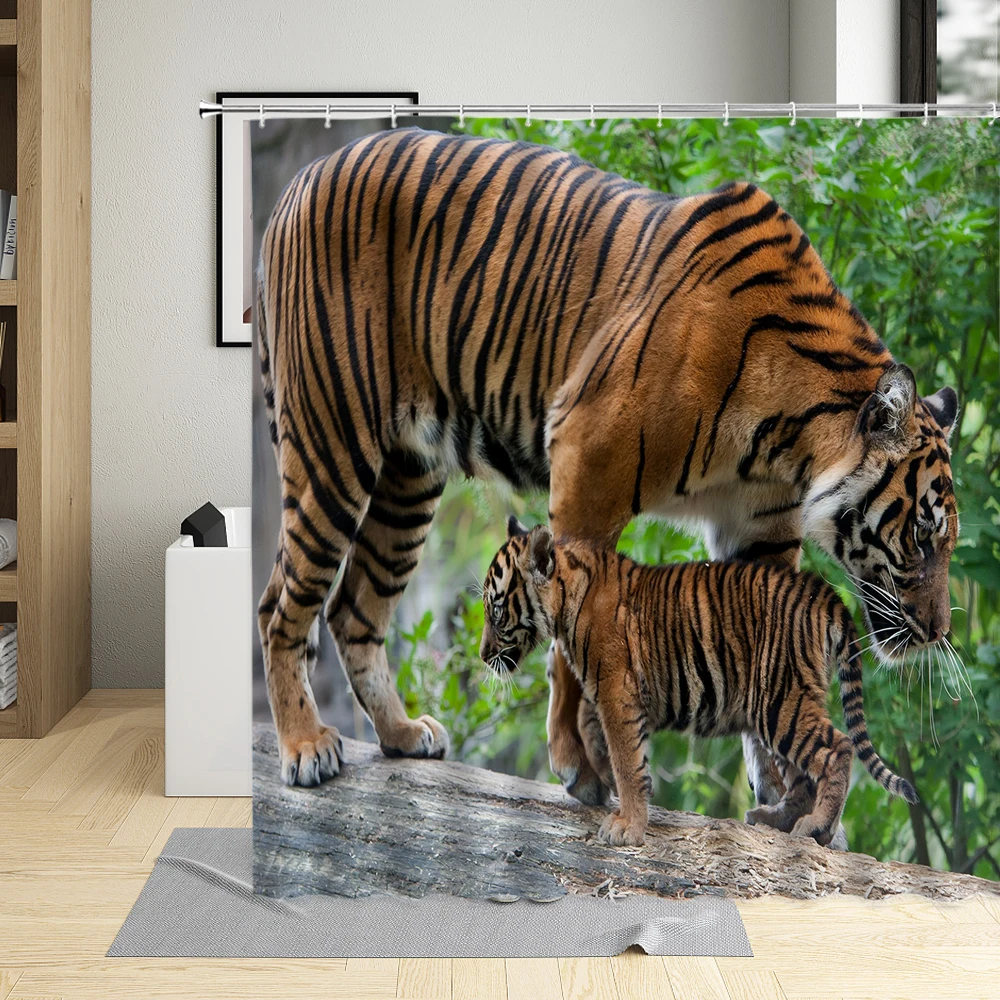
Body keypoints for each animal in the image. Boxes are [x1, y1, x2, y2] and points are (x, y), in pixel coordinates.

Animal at [256, 126, 958, 797]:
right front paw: (579, 767)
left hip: (409, 476)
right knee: (281, 604)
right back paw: (305, 746)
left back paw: (402, 734)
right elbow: (570, 640)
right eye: (923, 536)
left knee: (353, 609)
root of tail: (296, 184)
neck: (785, 439)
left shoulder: (759, 530)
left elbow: (761, 642)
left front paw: (781, 795)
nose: (935, 632)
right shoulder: (588, 466)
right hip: (332, 445)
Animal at [479, 518, 918, 847]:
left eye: (496, 611)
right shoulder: (605, 691)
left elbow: (626, 760)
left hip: (780, 699)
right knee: (800, 778)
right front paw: (603, 783)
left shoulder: (616, 691)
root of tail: (823, 592)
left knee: (837, 749)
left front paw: (627, 825)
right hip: (780, 703)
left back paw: (818, 828)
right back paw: (774, 819)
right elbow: (598, 735)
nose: (483, 655)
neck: (566, 598)